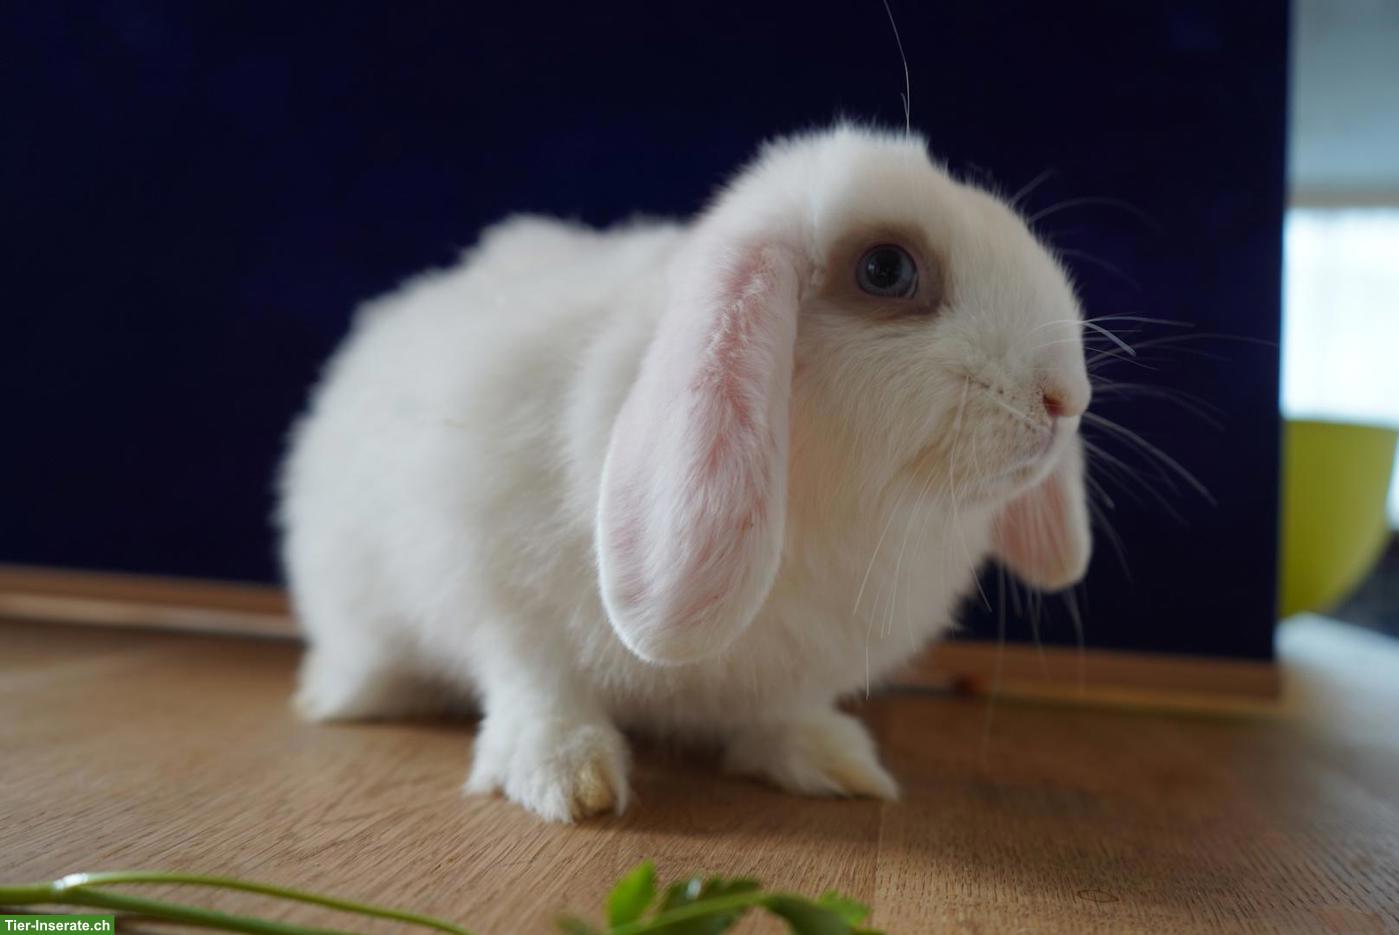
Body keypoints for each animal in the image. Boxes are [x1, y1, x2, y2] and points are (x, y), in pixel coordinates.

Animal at [278, 124, 1093, 823]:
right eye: (885, 269)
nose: (1066, 399)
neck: (820, 499)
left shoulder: (790, 667)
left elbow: (779, 714)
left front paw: (836, 764)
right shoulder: (498, 593)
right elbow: (537, 686)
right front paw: (567, 779)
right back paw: (342, 696)